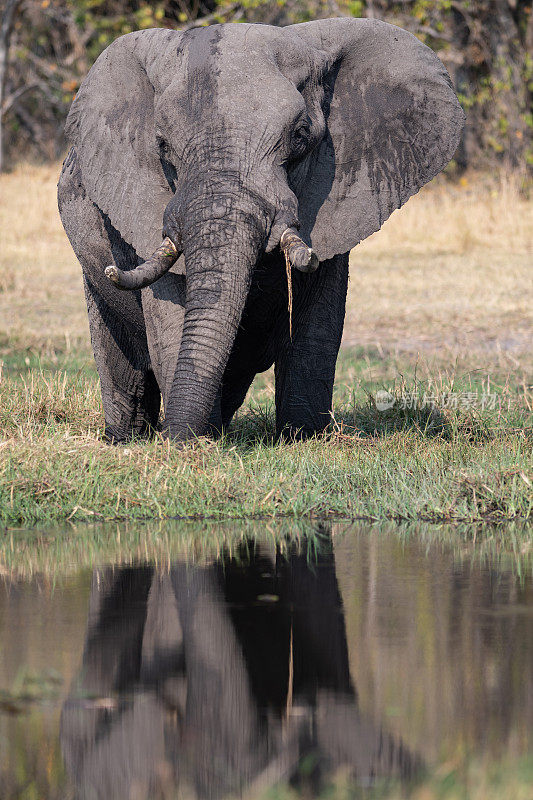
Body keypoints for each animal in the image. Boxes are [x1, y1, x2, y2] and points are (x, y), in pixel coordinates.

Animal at [58, 18, 464, 440]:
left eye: (300, 136)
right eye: (163, 146)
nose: (176, 437)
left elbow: (317, 328)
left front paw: (303, 439)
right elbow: (172, 321)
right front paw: (193, 442)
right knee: (122, 367)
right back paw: (127, 438)